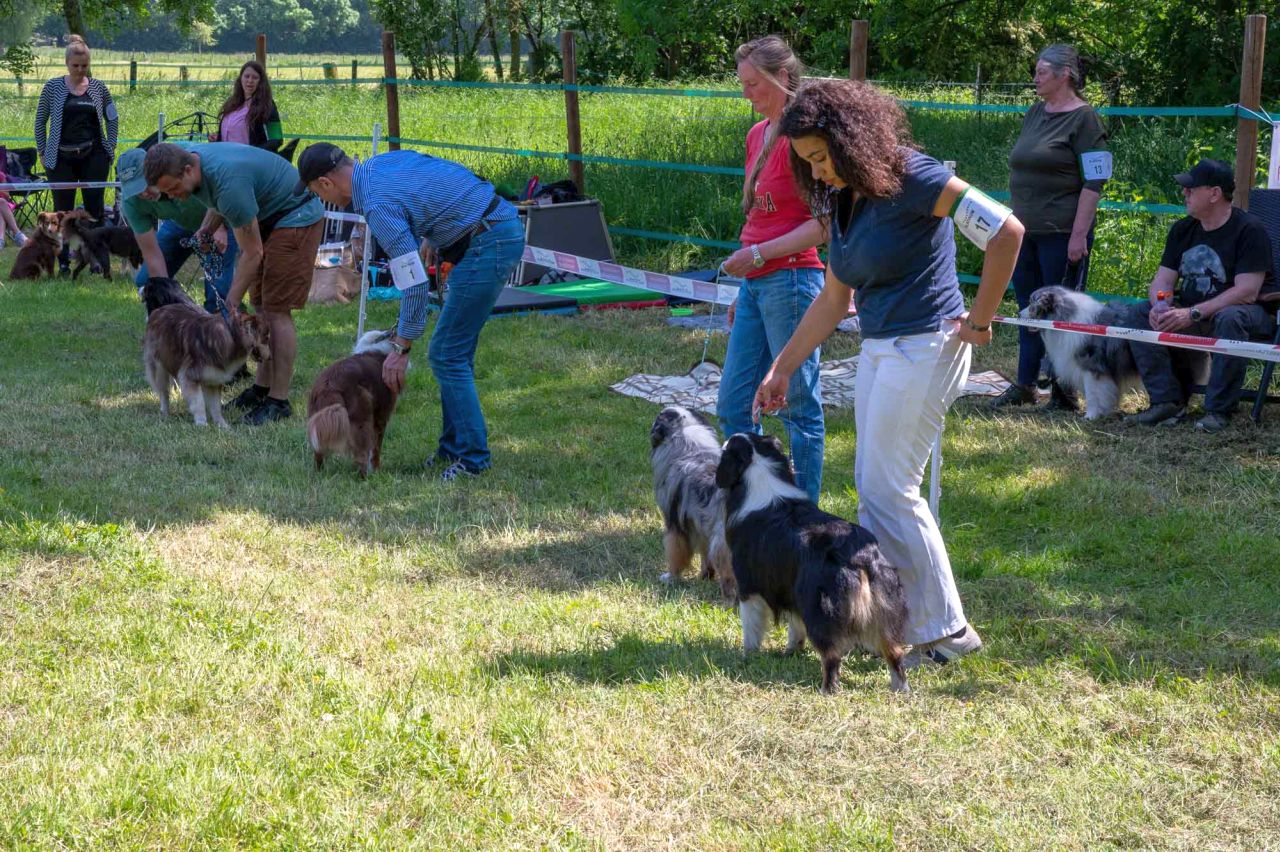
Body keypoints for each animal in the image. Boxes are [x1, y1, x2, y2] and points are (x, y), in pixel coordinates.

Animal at [305, 327, 399, 473]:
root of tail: (329, 385)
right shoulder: (381, 416)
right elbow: (376, 448)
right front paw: (376, 469)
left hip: (315, 416)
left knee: (318, 452)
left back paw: (319, 472)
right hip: (362, 417)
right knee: (361, 454)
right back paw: (364, 475)